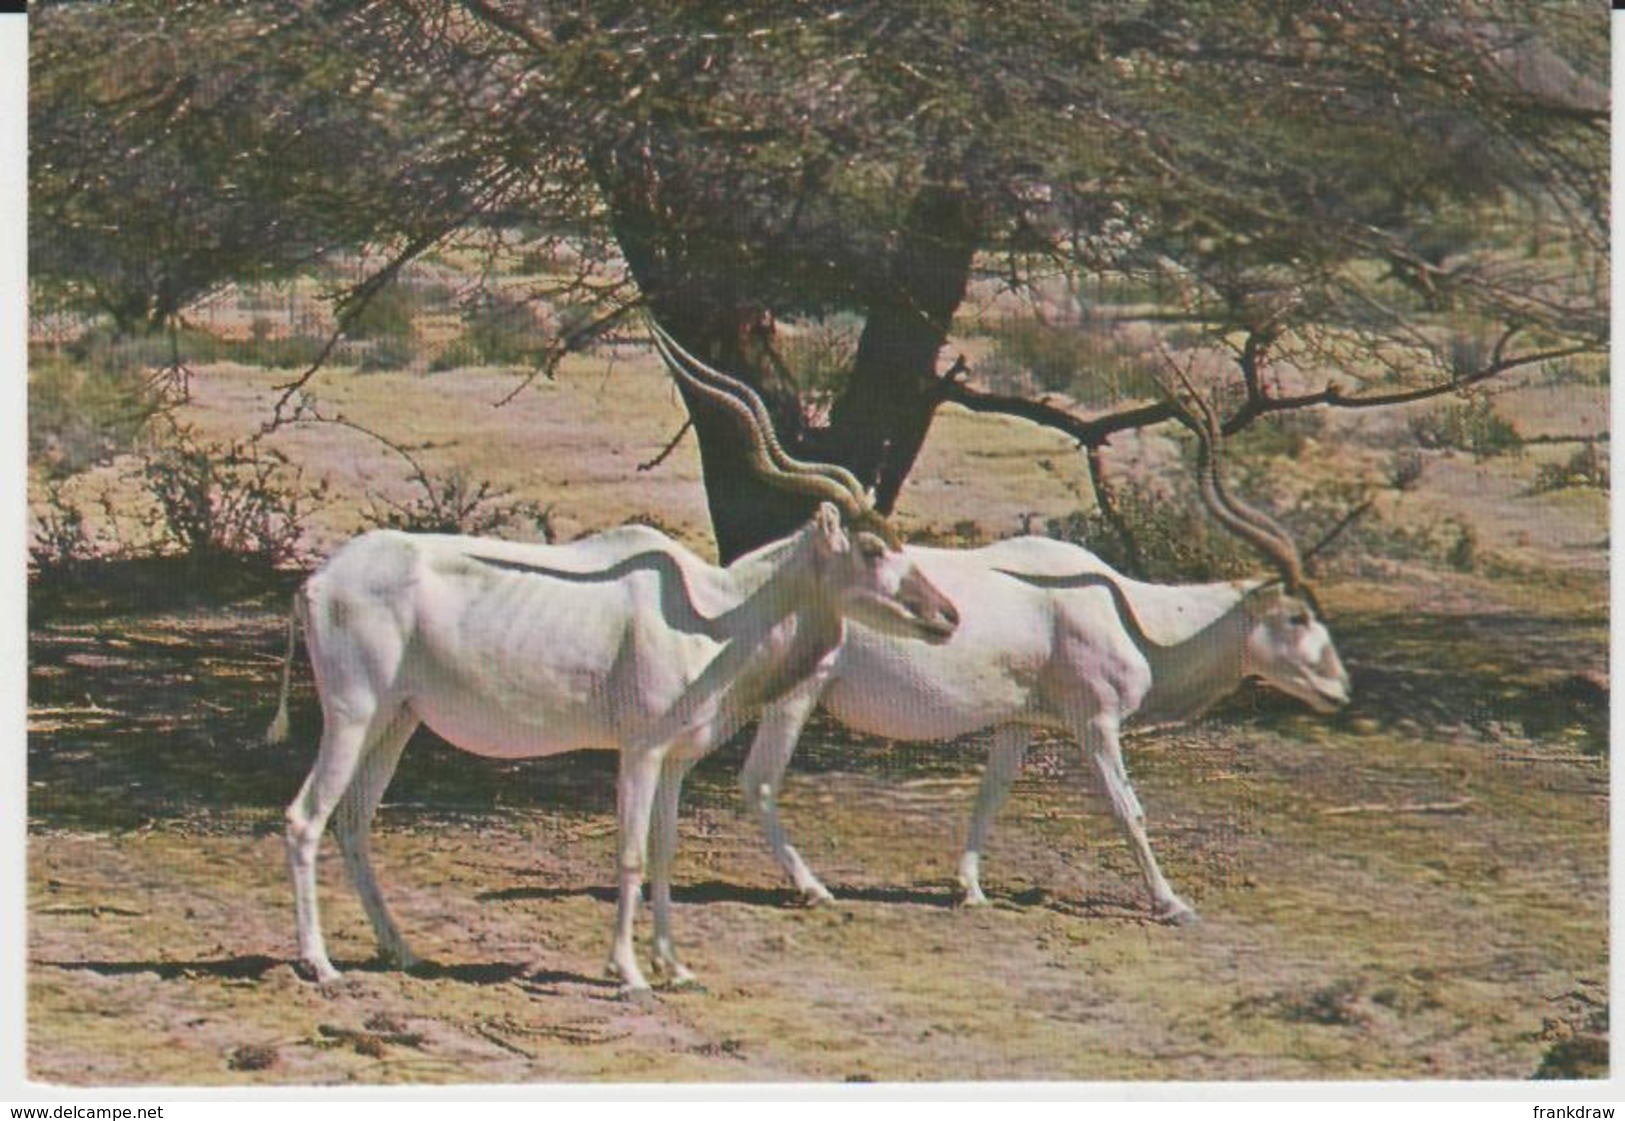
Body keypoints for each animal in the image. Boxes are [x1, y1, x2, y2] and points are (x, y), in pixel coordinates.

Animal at [260, 315, 955, 987]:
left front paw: (675, 966)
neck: (714, 610)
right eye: (871, 549)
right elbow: (630, 853)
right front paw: (629, 971)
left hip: (397, 719)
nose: (946, 616)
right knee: (304, 818)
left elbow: (666, 851)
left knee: (353, 819)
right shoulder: (640, 749)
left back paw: (401, 951)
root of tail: (316, 582)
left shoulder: (675, 759)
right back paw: (320, 965)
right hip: (352, 715)